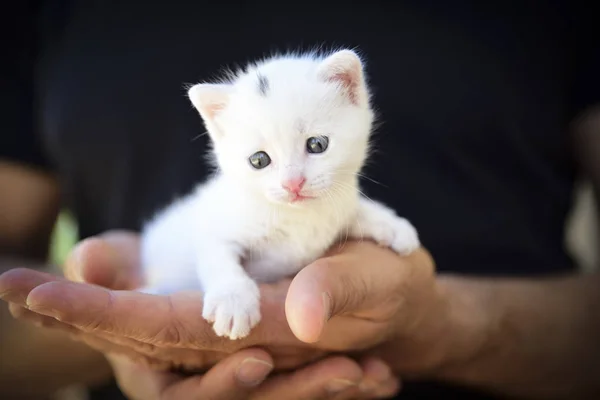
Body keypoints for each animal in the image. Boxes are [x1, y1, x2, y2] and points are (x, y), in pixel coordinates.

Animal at [138, 48, 420, 340]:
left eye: (317, 144)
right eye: (259, 160)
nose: (293, 183)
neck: (298, 217)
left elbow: (353, 209)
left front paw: (393, 225)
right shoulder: (213, 227)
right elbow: (219, 258)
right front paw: (233, 301)